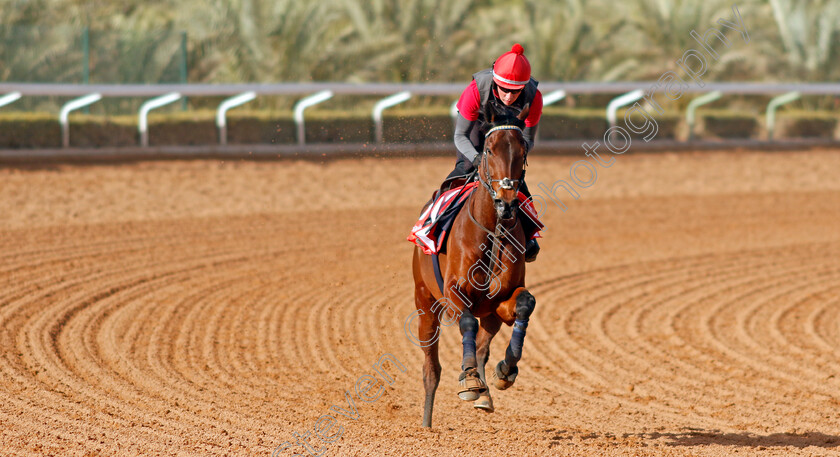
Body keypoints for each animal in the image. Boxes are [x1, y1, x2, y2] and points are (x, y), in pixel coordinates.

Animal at [412, 103, 540, 428]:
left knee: (483, 344)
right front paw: (469, 379)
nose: (507, 203)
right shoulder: (454, 293)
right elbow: (467, 322)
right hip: (424, 302)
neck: (491, 228)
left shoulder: (500, 300)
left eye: (522, 150)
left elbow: (525, 304)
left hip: (489, 313)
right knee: (431, 368)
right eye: (490, 149)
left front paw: (506, 370)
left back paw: (485, 393)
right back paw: (426, 425)